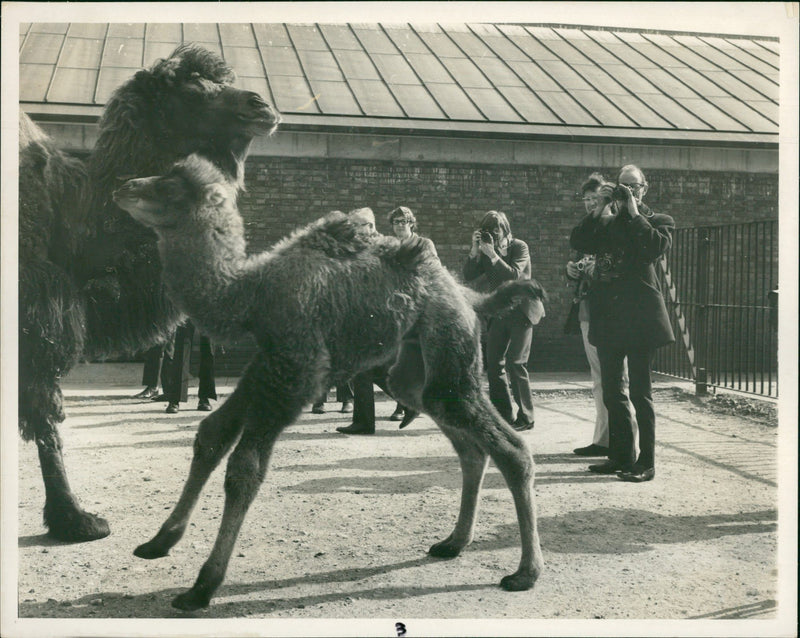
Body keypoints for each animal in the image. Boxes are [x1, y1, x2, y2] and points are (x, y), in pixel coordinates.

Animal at [112, 156, 548, 616]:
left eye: (172, 186)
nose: (124, 188)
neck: (252, 293)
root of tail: (465, 293)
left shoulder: (296, 371)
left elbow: (244, 468)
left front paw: (202, 586)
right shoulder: (269, 361)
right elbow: (212, 434)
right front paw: (158, 541)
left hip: (449, 344)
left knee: (511, 449)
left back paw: (525, 572)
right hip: (414, 369)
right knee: (464, 441)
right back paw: (453, 542)